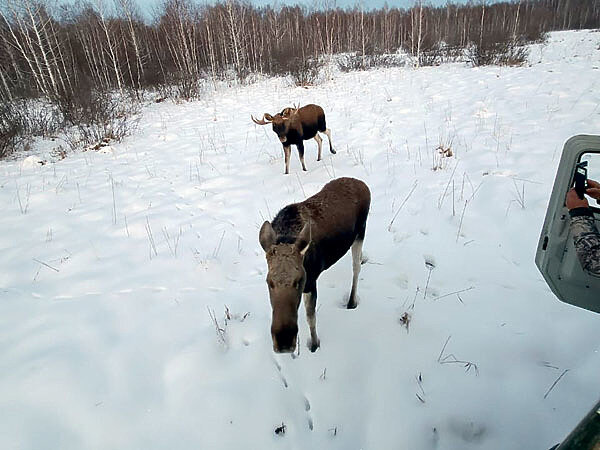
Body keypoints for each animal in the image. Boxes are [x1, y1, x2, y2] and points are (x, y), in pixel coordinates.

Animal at [258, 178, 370, 354]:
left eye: (299, 280)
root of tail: (363, 184)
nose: (284, 342)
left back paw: (351, 302)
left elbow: (311, 317)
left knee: (356, 268)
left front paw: (315, 344)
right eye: (269, 282)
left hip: (361, 231)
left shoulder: (310, 282)